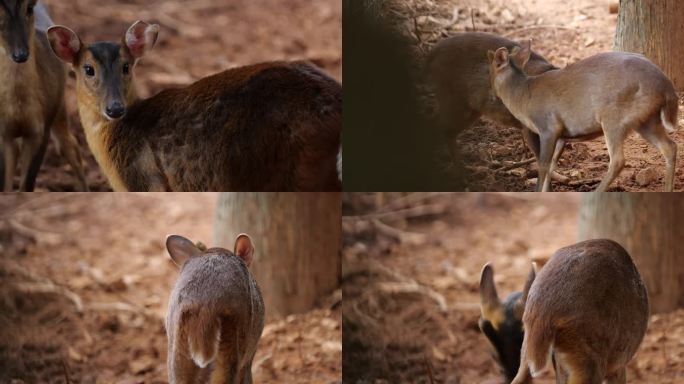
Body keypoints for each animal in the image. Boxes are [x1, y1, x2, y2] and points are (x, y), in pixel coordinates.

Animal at [0, 0, 88, 191]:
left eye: (29, 8)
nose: (21, 54)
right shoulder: (3, 133)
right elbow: (5, 185)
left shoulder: (41, 129)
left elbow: (26, 184)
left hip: (59, 106)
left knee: (71, 146)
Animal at [488, 41, 676, 191]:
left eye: (491, 68)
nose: (491, 94)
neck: (522, 97)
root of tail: (666, 87)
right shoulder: (562, 135)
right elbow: (551, 166)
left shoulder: (548, 126)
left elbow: (543, 165)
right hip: (646, 119)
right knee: (670, 147)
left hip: (614, 117)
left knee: (618, 160)